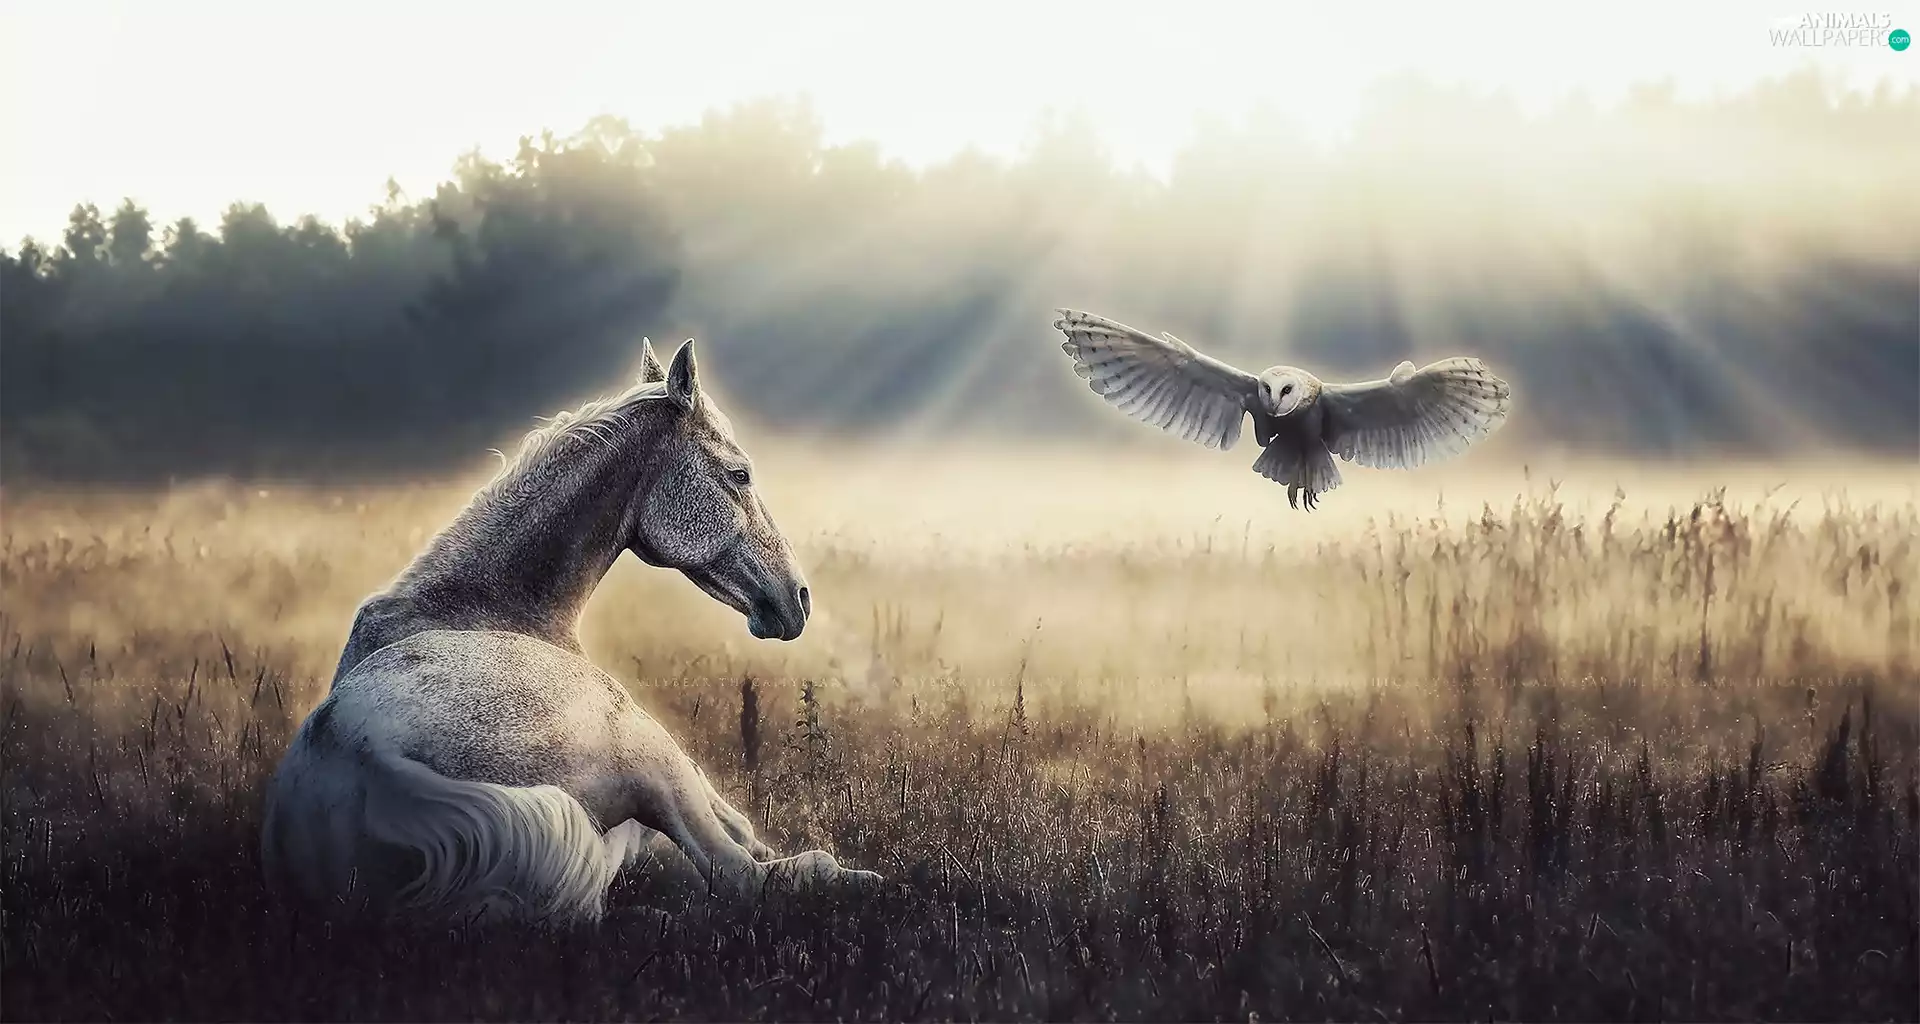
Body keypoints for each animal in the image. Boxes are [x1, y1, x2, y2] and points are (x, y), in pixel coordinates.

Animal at [260, 338, 881, 926]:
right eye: (740, 474)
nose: (797, 599)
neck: (476, 606)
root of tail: (368, 751)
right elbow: (747, 839)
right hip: (649, 751)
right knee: (747, 876)